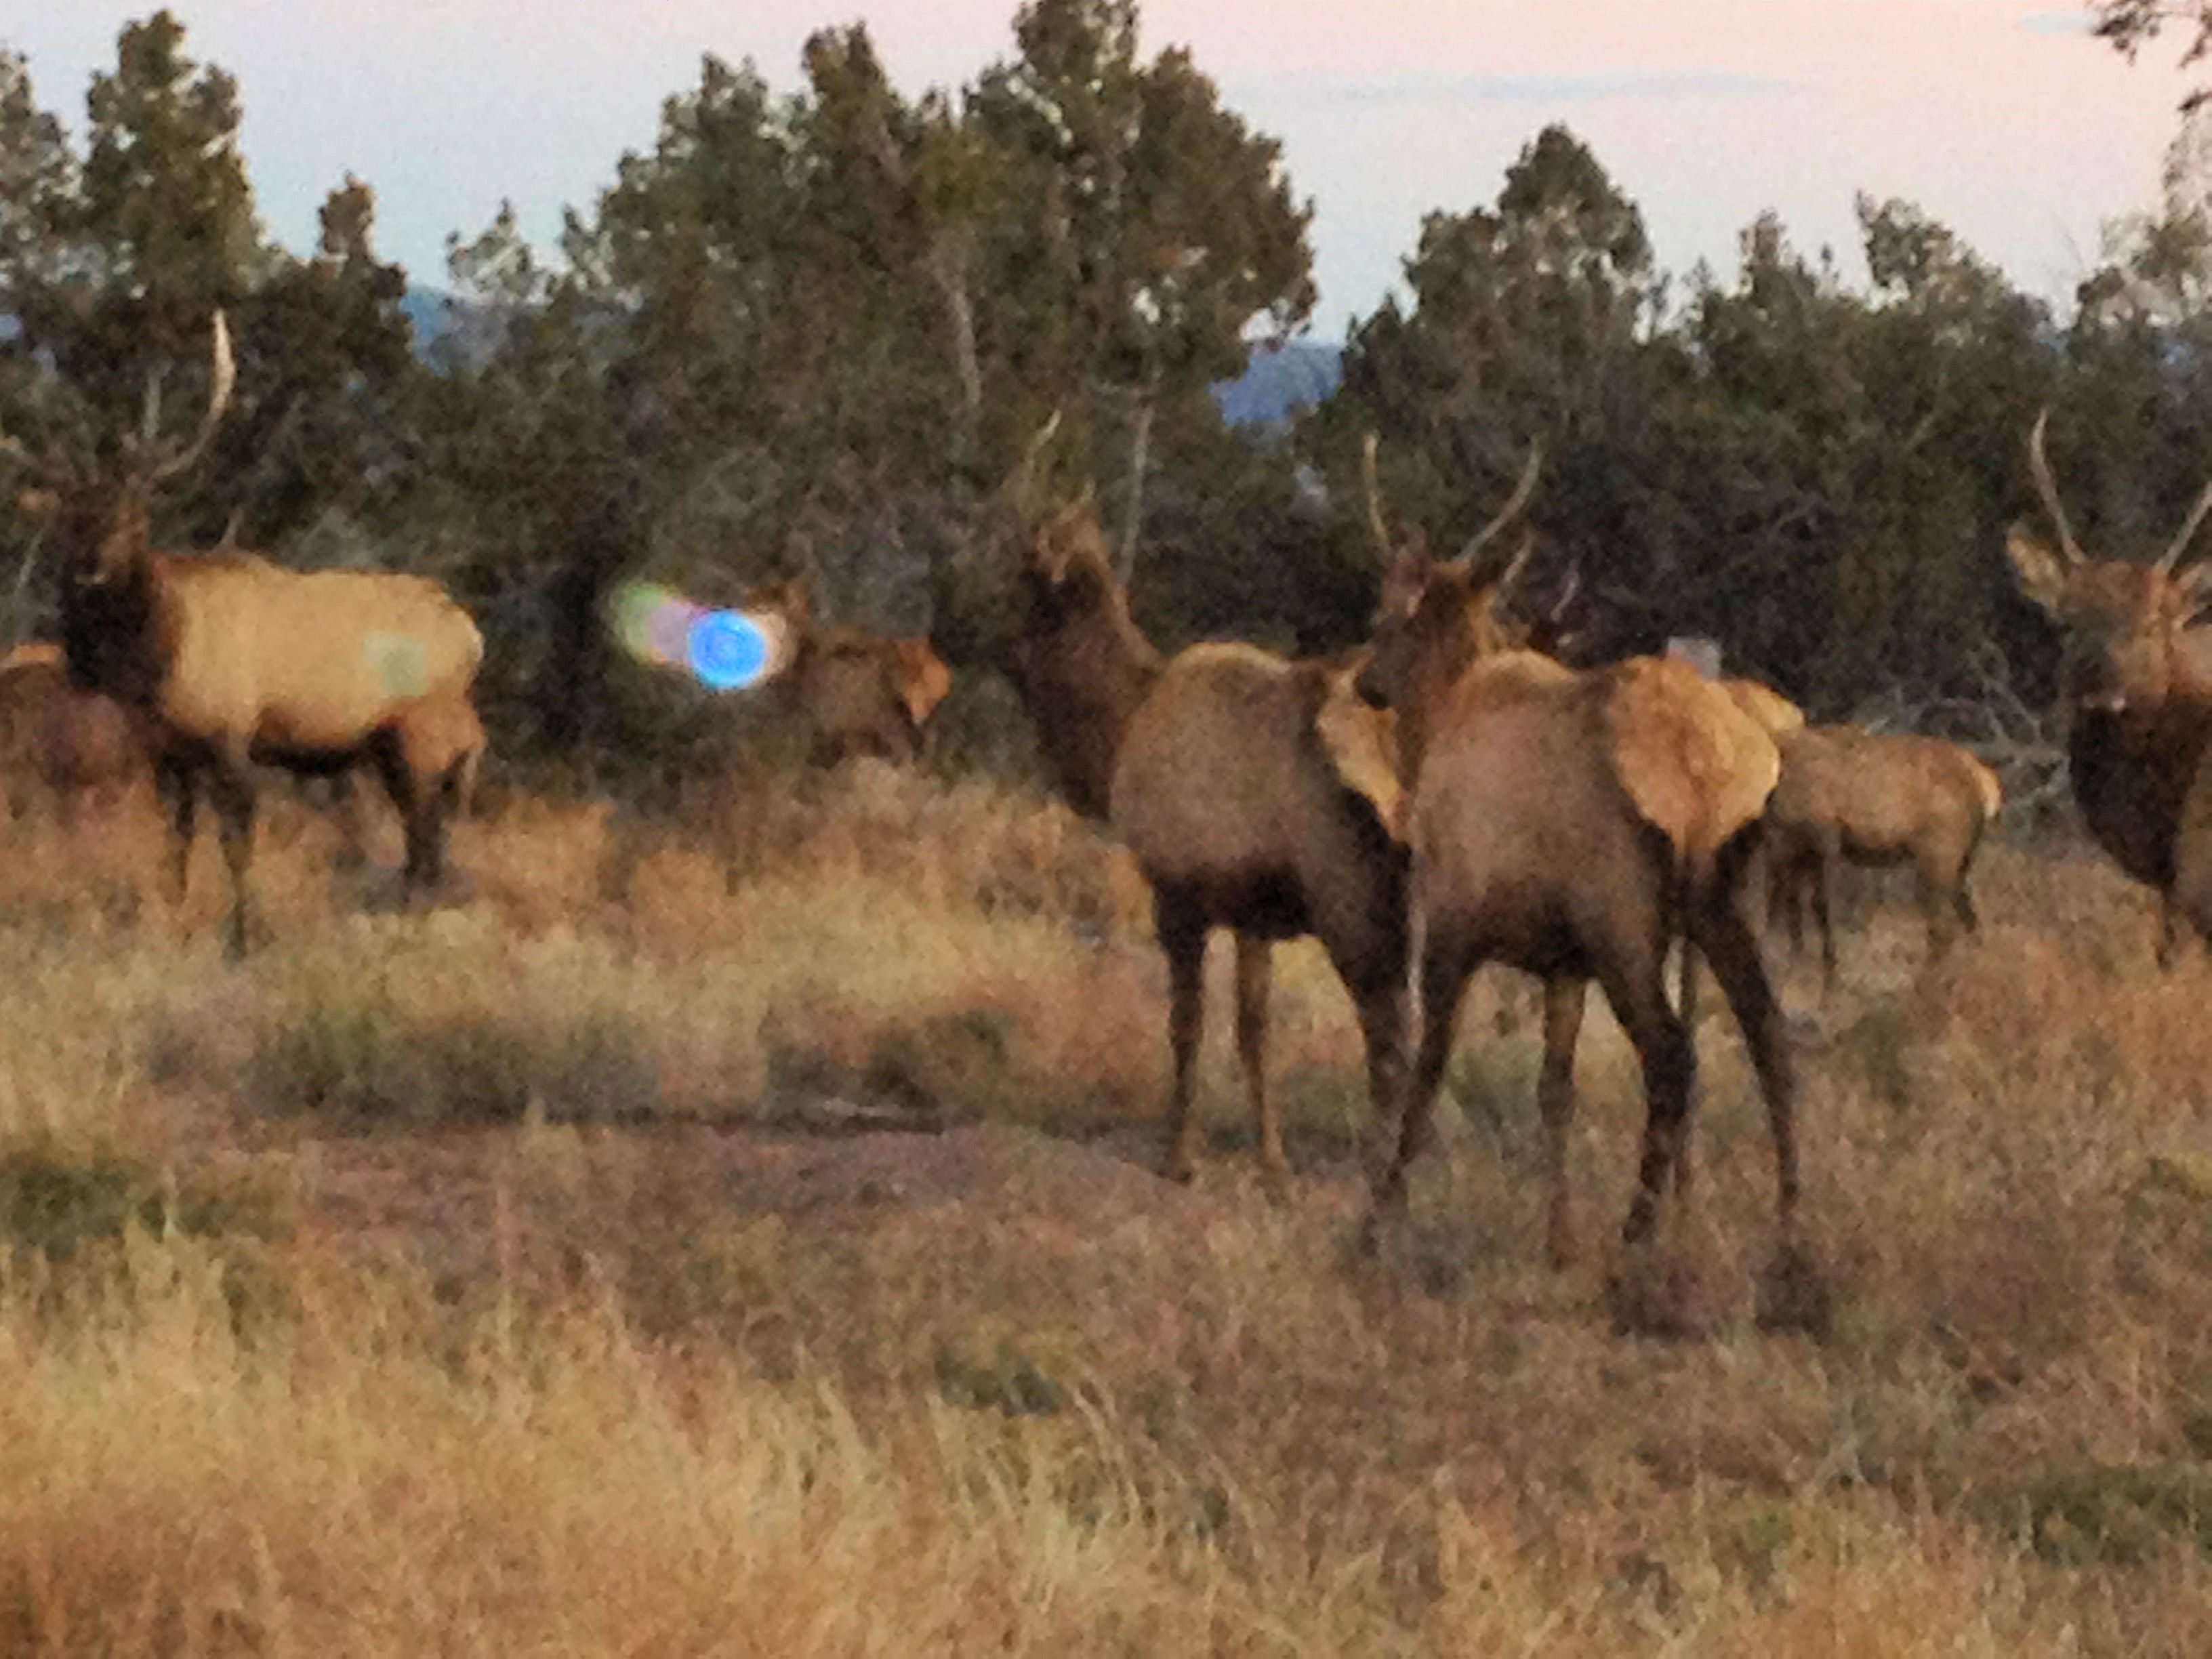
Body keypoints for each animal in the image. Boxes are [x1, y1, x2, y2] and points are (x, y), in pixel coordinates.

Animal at [7, 313, 486, 957]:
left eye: (133, 515)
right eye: (68, 520)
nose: (91, 569)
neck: (157, 663)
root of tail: (472, 634)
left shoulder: (233, 735)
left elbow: (236, 843)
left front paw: (243, 938)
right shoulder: (168, 752)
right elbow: (176, 842)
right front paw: (174, 918)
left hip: (424, 735)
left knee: (428, 839)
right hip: (390, 746)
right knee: (422, 842)